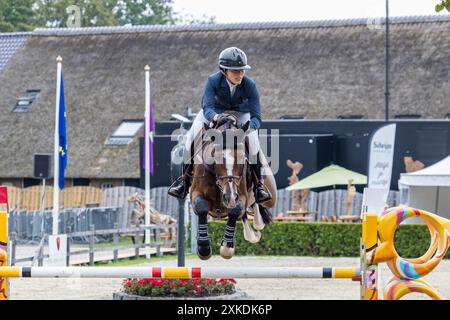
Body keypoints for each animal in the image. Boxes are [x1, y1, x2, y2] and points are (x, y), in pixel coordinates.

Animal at [188, 114, 276, 260]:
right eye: (215, 158)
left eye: (242, 161)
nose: (230, 197)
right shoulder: (195, 193)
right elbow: (201, 208)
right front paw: (204, 247)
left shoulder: (241, 196)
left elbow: (235, 210)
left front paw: (226, 247)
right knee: (246, 214)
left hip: (270, 197)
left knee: (255, 205)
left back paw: (257, 223)